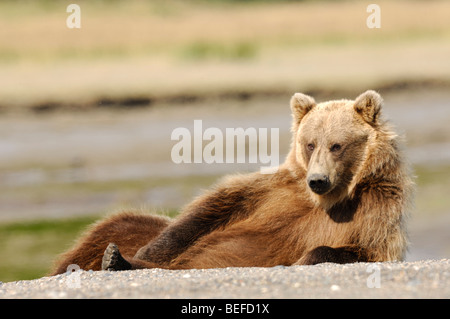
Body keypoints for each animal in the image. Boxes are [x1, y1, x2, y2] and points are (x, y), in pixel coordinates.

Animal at [48, 89, 412, 276]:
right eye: (310, 144)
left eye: (337, 145)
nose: (317, 181)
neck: (330, 199)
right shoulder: (272, 189)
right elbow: (211, 209)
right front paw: (142, 251)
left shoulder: (374, 206)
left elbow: (367, 248)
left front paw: (302, 258)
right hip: (131, 227)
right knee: (118, 224)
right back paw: (100, 260)